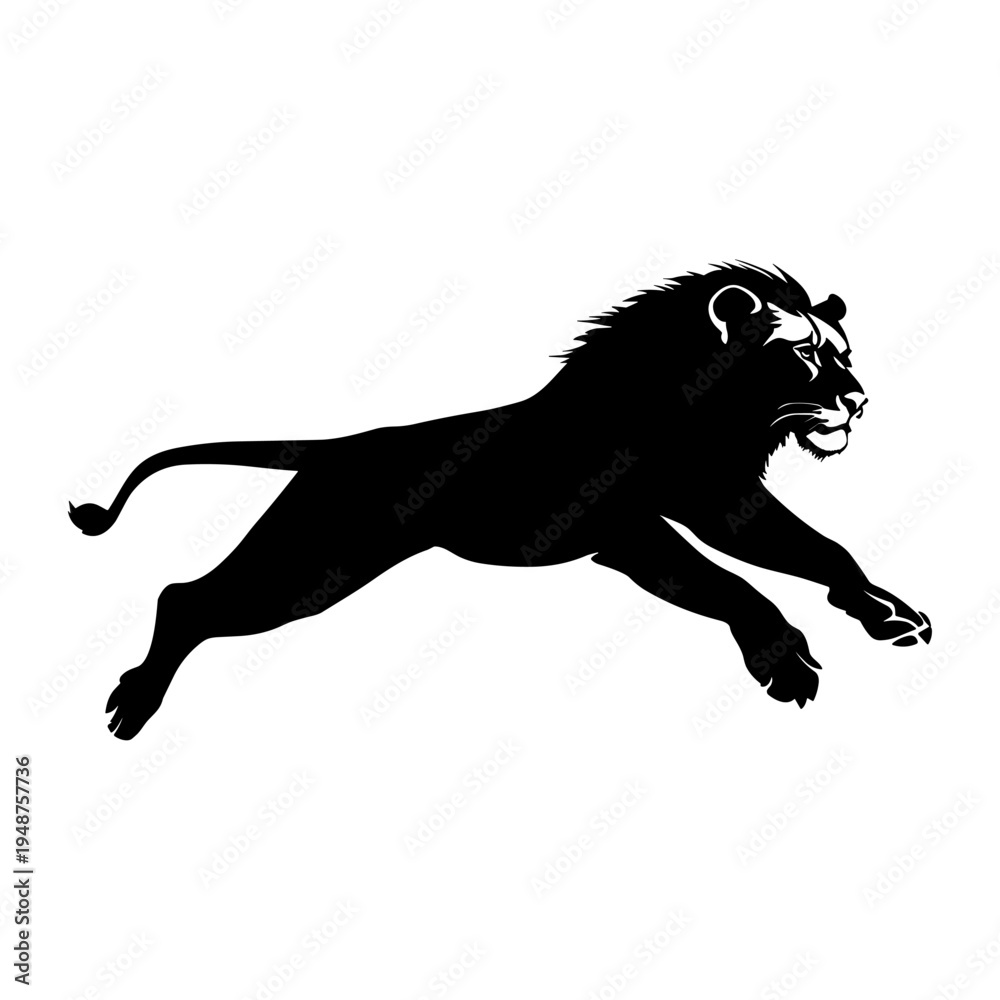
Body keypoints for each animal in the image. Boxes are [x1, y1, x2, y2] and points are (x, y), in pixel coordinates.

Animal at [70, 262, 931, 739]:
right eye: (804, 354)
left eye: (843, 353)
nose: (859, 401)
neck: (708, 420)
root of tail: (340, 446)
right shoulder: (633, 530)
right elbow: (734, 585)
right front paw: (786, 664)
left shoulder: (720, 500)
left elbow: (820, 550)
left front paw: (889, 615)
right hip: (311, 562)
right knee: (185, 598)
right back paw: (132, 706)